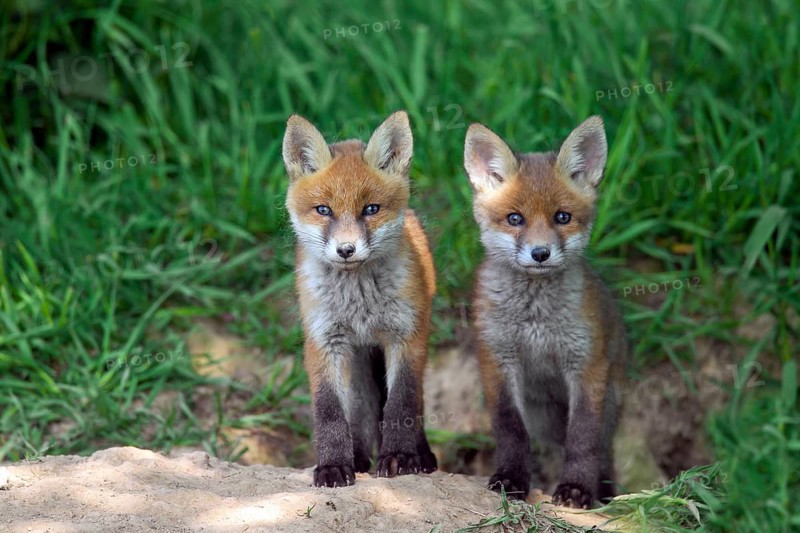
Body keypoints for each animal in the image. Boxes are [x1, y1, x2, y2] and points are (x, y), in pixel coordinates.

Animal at [282, 110, 438, 488]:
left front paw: (400, 457)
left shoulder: (406, 336)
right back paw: (359, 457)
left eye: (371, 209)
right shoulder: (325, 341)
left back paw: (421, 454)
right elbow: (329, 413)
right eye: (323, 210)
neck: (359, 304)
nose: (346, 250)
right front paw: (334, 466)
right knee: (360, 410)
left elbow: (401, 404)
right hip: (357, 359)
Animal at [464, 116, 627, 508]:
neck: (536, 318)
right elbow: (511, 429)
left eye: (562, 217)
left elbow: (583, 438)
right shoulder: (498, 360)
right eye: (515, 219)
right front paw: (510, 478)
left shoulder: (586, 365)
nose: (540, 253)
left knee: (602, 450)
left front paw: (577, 489)